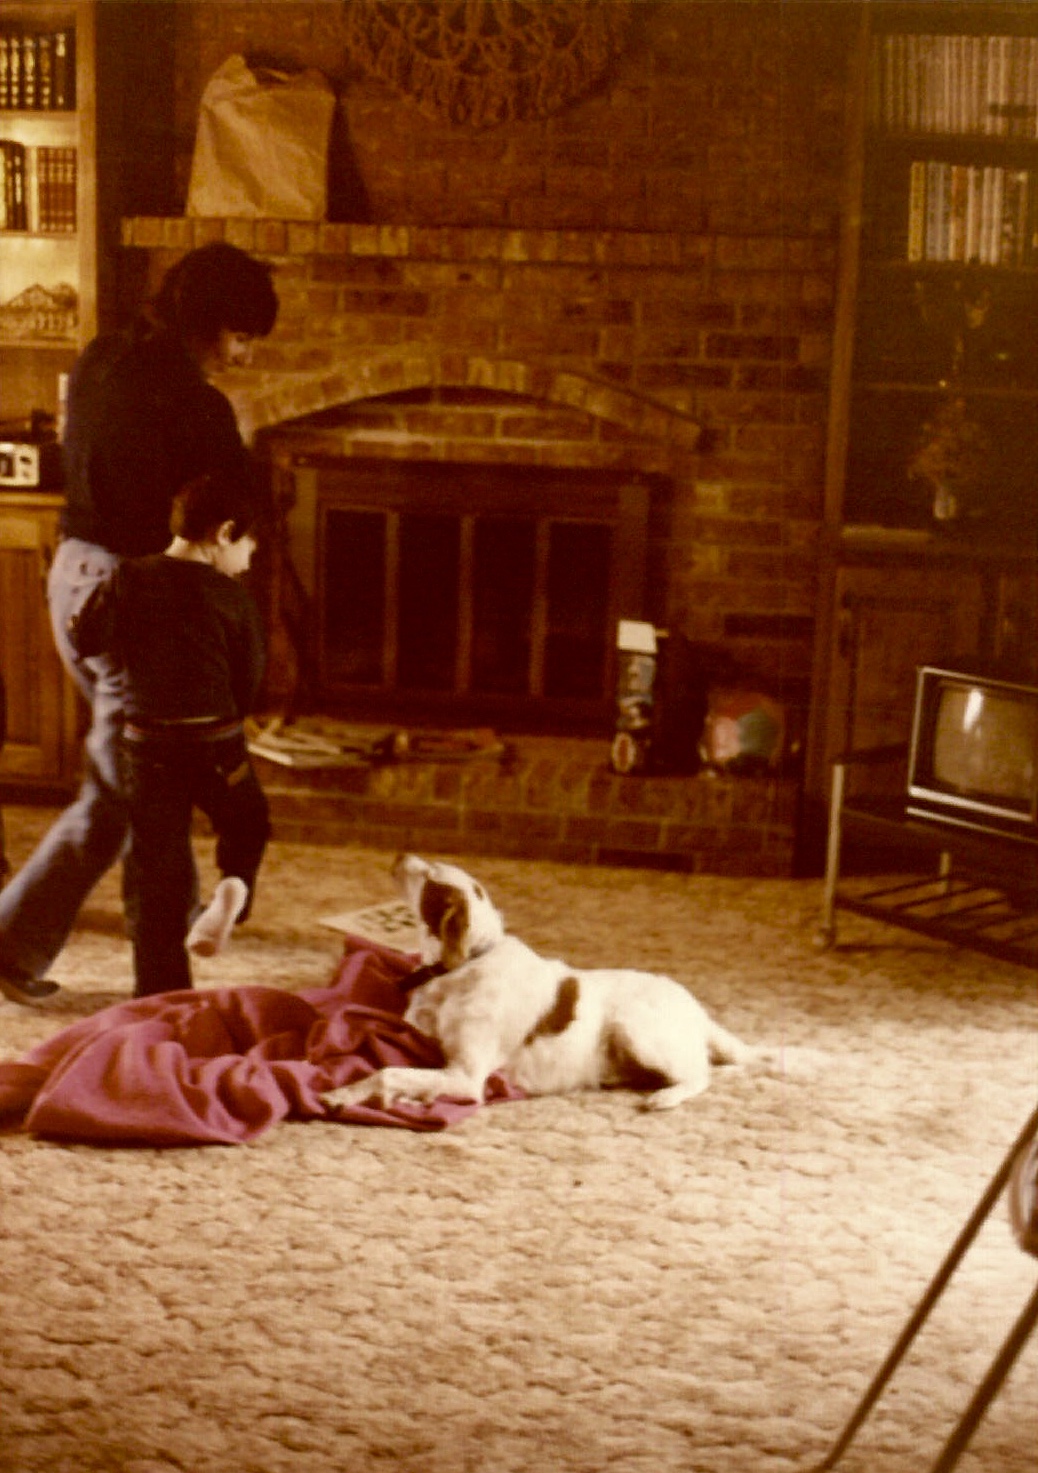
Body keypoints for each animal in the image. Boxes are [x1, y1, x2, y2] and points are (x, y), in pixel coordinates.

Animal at [321, 854, 758, 1113]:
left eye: (428, 876)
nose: (400, 856)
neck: (465, 963)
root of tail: (697, 1011)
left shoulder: (466, 1076)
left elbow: (387, 1072)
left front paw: (340, 1095)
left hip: (637, 1031)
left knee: (701, 1073)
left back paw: (665, 1096)